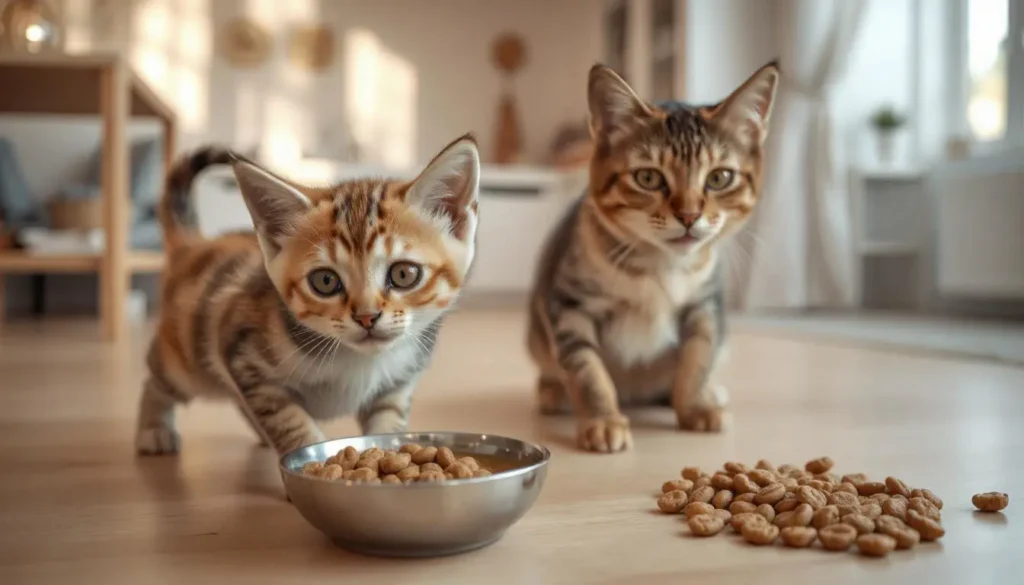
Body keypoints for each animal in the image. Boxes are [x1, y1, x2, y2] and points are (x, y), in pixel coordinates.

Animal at [135, 135, 479, 454]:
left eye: (404, 274)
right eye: (325, 281)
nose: (367, 317)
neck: (359, 360)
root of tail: (196, 245)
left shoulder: (397, 383)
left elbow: (387, 421)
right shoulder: (240, 353)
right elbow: (288, 420)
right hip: (190, 362)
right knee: (157, 378)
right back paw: (154, 429)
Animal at [524, 60, 778, 452]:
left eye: (719, 177)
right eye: (647, 177)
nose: (689, 216)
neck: (662, 267)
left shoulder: (705, 306)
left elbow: (697, 358)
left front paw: (695, 406)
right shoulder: (570, 307)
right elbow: (587, 370)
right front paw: (603, 420)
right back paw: (553, 391)